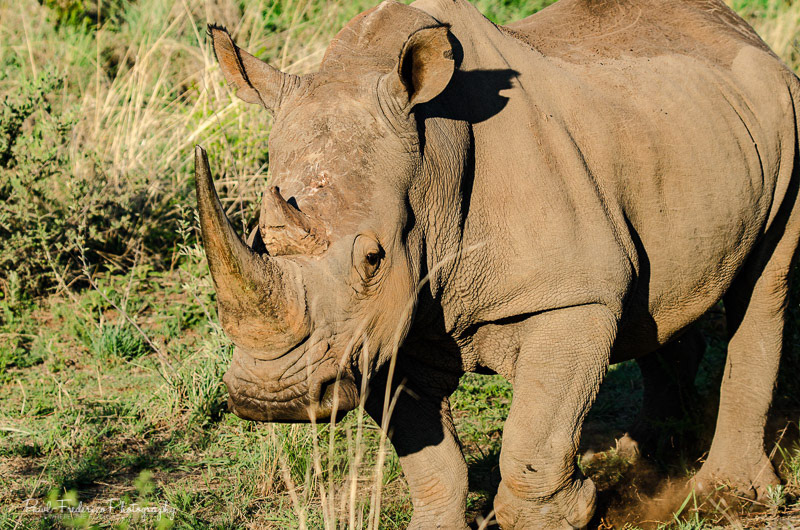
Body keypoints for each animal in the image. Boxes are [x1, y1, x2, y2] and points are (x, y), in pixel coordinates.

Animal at [195, 0, 800, 527]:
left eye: (372, 258)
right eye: (257, 238)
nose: (268, 397)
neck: (431, 159)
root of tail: (745, 31)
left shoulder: (573, 295)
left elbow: (533, 443)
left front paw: (562, 515)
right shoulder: (379, 328)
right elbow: (432, 462)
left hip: (786, 113)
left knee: (763, 286)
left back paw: (725, 496)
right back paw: (644, 451)